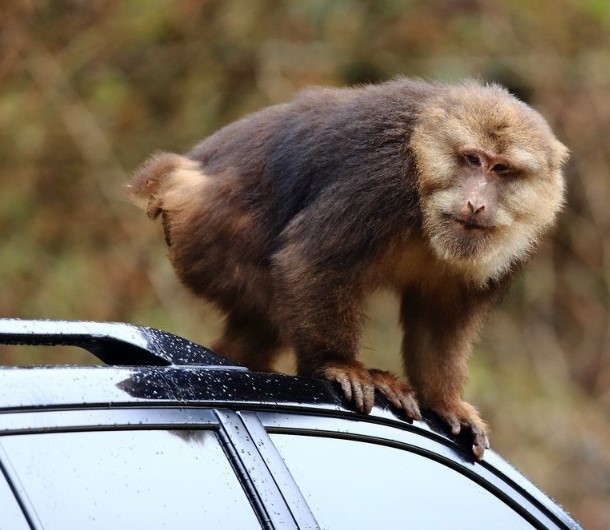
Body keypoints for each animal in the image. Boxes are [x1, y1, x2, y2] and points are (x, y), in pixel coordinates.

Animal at [127, 78, 564, 458]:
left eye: (501, 170)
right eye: (472, 160)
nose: (476, 204)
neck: (423, 164)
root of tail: (180, 176)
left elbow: (443, 316)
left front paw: (444, 400)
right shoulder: (383, 179)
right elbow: (311, 258)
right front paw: (337, 364)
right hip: (210, 239)